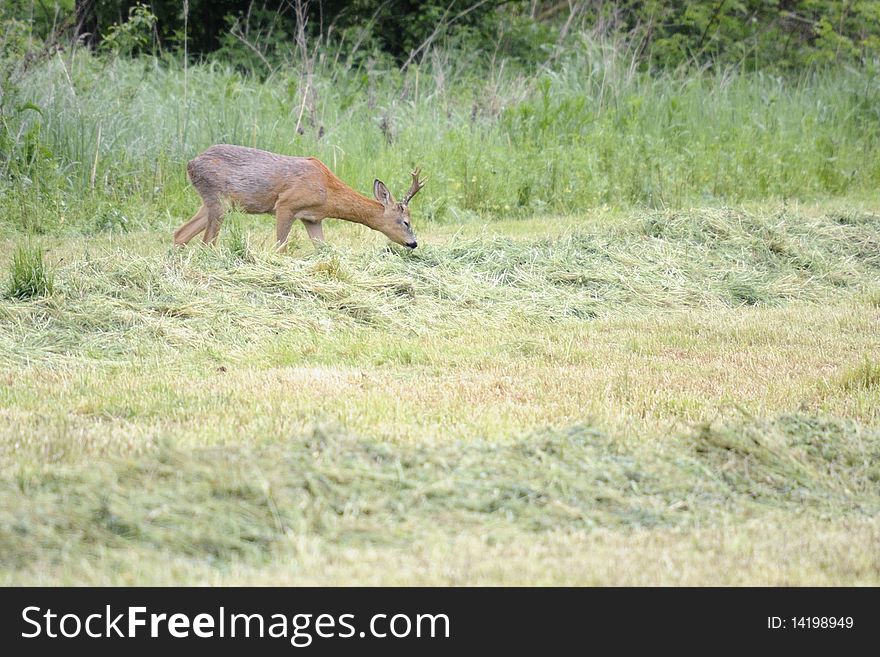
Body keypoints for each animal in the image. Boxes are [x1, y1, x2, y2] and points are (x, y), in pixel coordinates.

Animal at [173, 145, 426, 250]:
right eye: (406, 222)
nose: (413, 243)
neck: (327, 192)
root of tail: (190, 163)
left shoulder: (312, 219)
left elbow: (323, 248)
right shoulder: (286, 205)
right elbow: (280, 248)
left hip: (213, 202)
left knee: (180, 234)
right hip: (218, 199)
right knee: (207, 242)